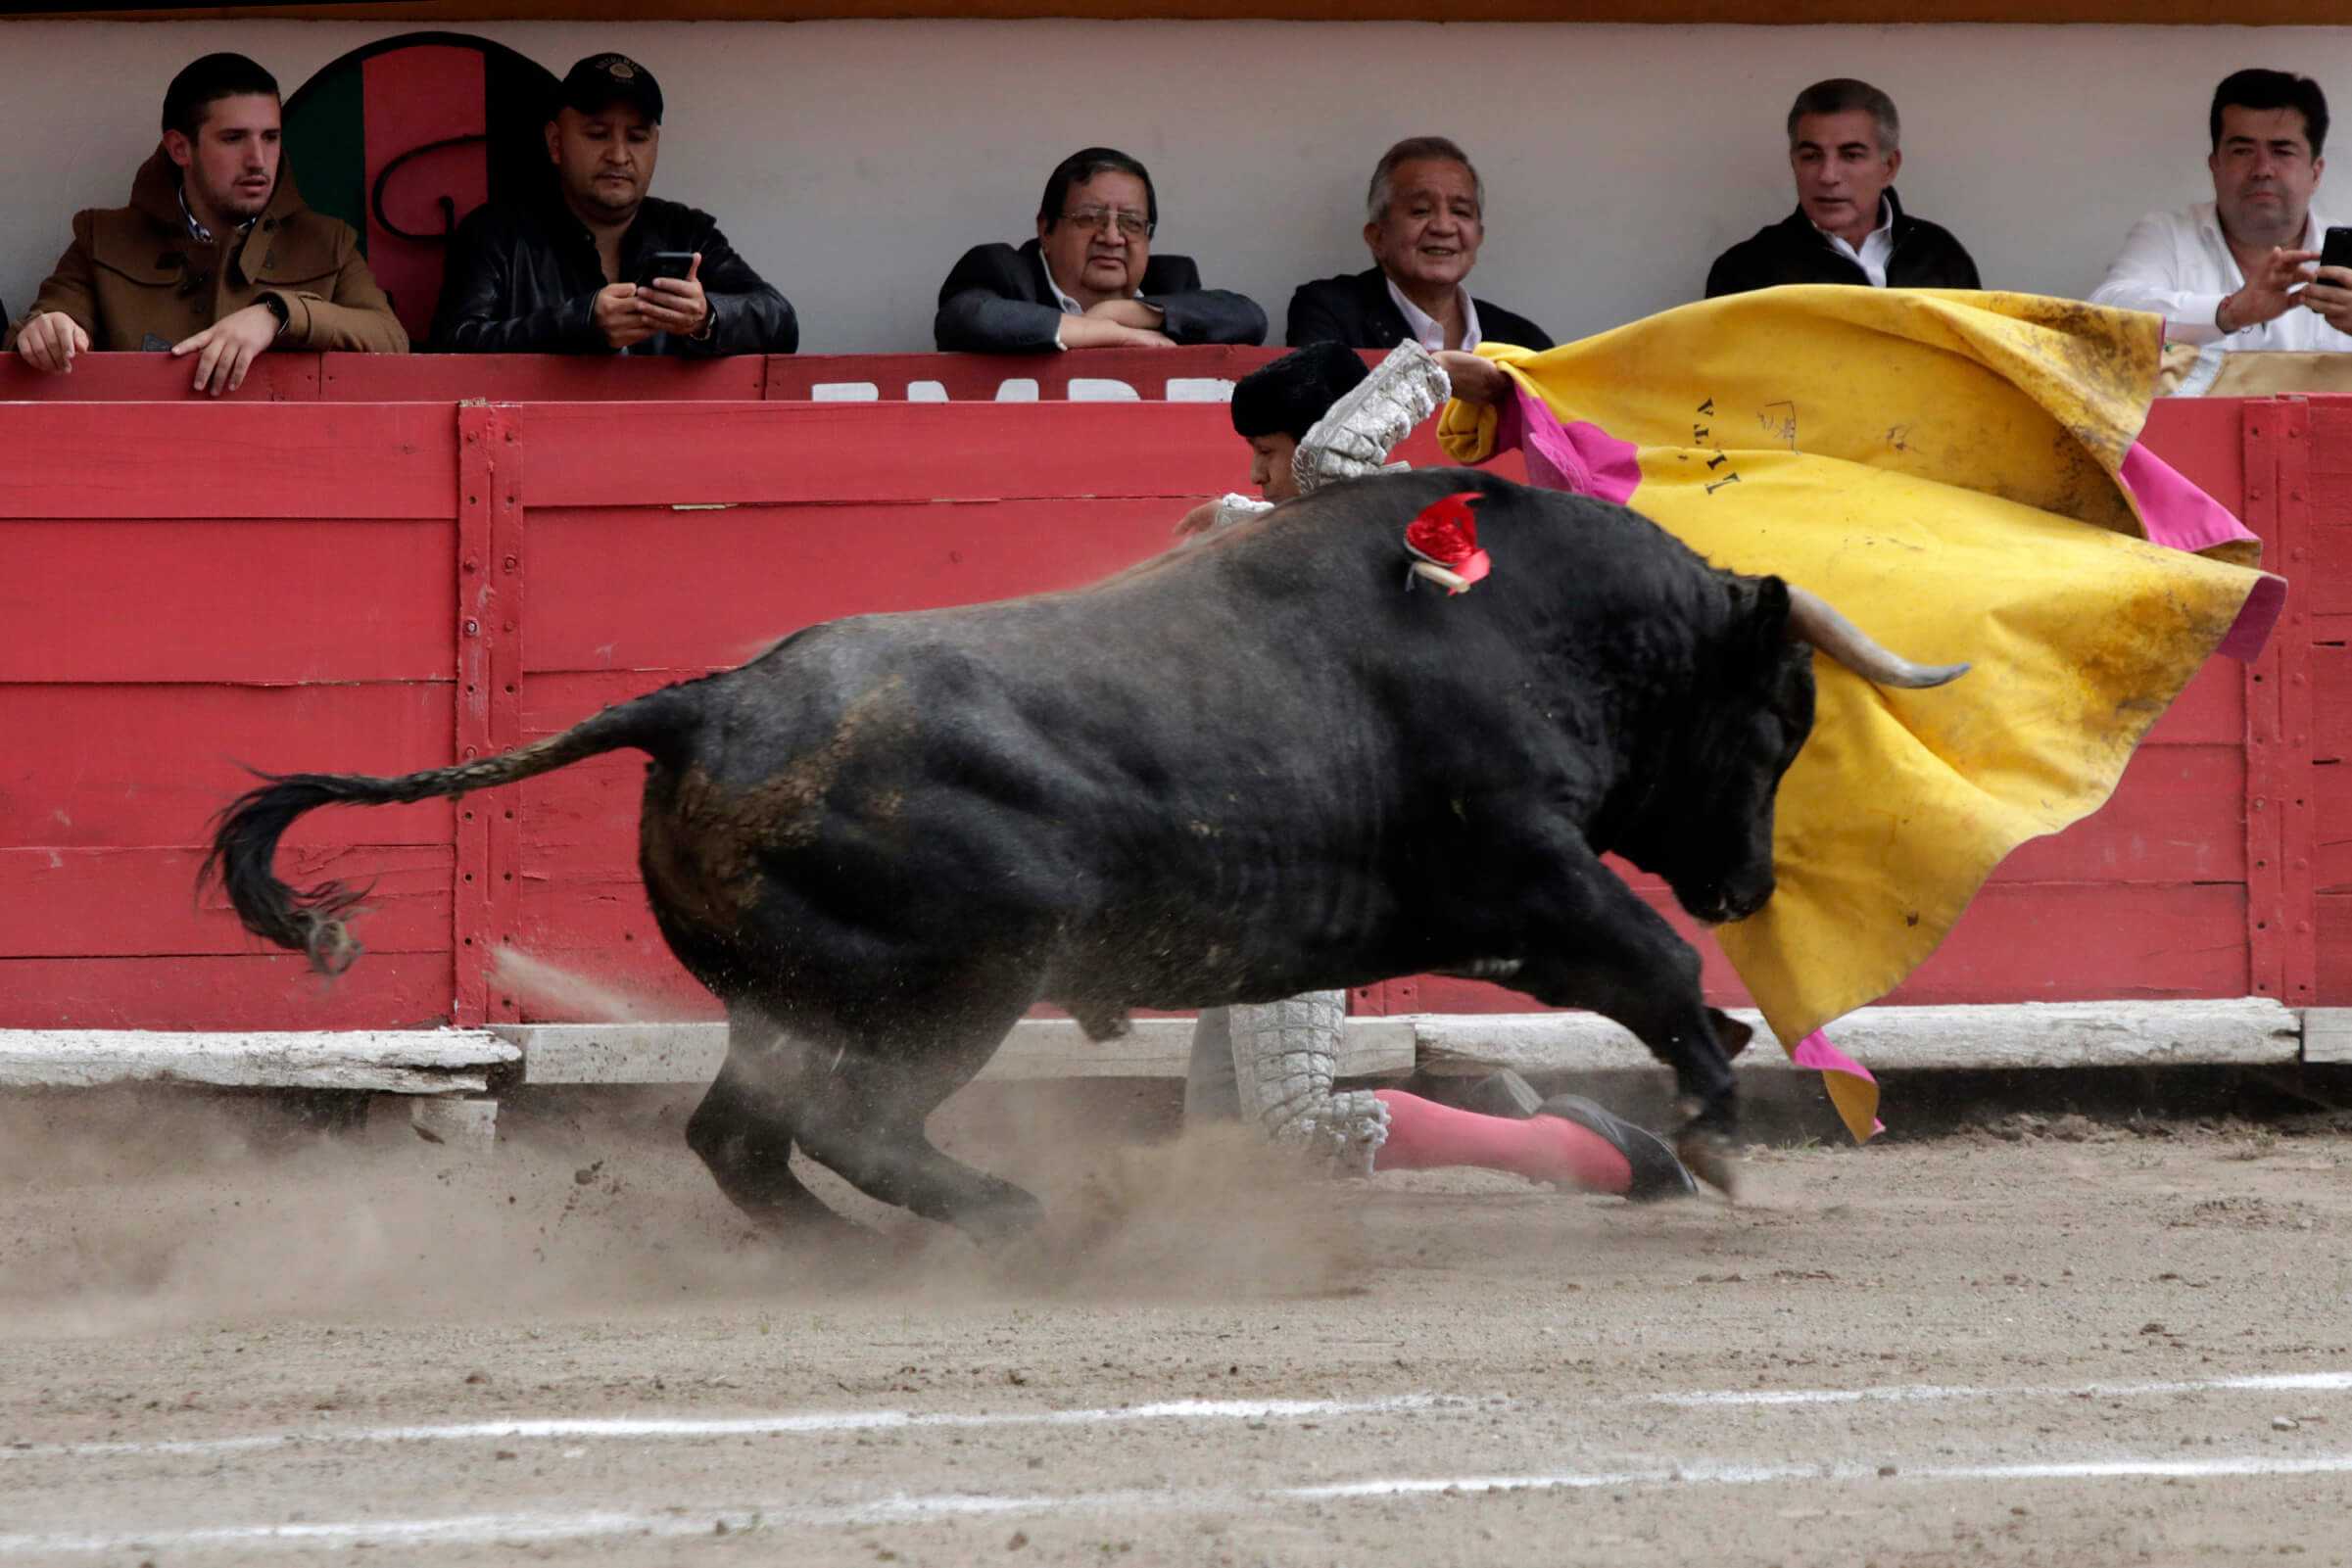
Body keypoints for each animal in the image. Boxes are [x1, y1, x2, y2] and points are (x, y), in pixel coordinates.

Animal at [207, 470, 1966, 1241]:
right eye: (1779, 719)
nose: (1749, 883)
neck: (1532, 621)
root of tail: (702, 701)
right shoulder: (1530, 876)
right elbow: (1654, 966)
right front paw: (1717, 1124)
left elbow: (1639, 981)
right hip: (964, 978)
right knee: (851, 1124)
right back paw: (1024, 1219)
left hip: (794, 999)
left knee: (744, 1135)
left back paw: (852, 1253)